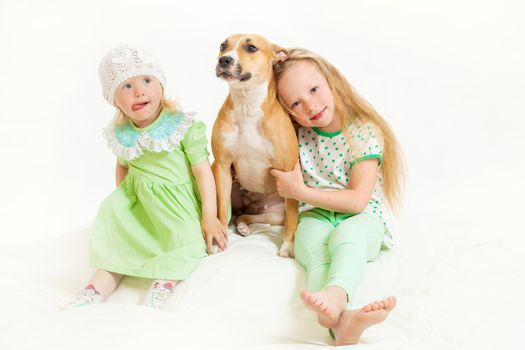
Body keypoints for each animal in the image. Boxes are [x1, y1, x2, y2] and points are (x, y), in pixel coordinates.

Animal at [211, 33, 296, 258]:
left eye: (251, 48)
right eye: (223, 46)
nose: (224, 60)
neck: (246, 105)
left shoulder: (288, 173)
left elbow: (293, 219)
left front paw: (287, 246)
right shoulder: (222, 166)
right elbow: (221, 210)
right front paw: (218, 241)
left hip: (276, 214)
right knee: (240, 215)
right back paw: (241, 225)